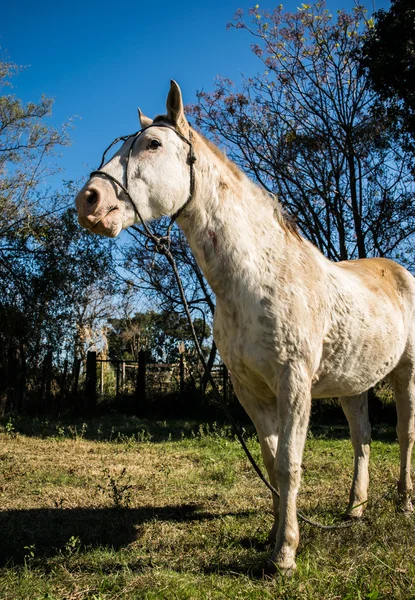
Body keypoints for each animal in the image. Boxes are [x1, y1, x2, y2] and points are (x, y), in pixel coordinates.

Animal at [75, 79, 415, 572]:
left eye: (153, 144)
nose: (89, 201)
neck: (258, 276)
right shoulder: (250, 391)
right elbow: (272, 465)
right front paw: (273, 538)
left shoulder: (294, 384)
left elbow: (290, 465)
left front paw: (286, 555)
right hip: (352, 385)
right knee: (363, 440)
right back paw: (355, 509)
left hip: (405, 373)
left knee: (405, 435)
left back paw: (404, 502)